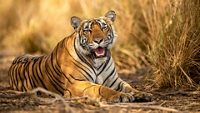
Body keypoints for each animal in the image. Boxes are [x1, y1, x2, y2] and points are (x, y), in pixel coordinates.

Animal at [8, 10, 151, 102]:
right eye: (88, 30)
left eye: (103, 27)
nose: (98, 40)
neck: (97, 62)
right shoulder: (77, 83)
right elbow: (101, 88)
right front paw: (120, 96)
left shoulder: (114, 80)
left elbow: (129, 87)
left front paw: (142, 94)